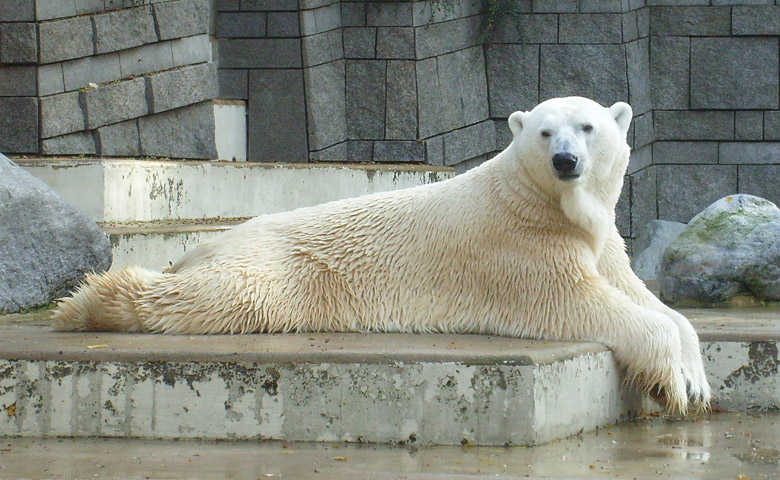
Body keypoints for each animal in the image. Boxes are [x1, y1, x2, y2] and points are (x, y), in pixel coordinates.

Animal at [53, 96, 712, 412]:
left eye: (589, 128)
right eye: (546, 132)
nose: (566, 161)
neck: (542, 202)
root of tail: (213, 240)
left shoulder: (603, 246)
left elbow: (655, 304)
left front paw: (698, 379)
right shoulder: (523, 247)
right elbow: (585, 304)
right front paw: (675, 386)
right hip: (278, 266)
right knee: (228, 297)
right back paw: (85, 303)